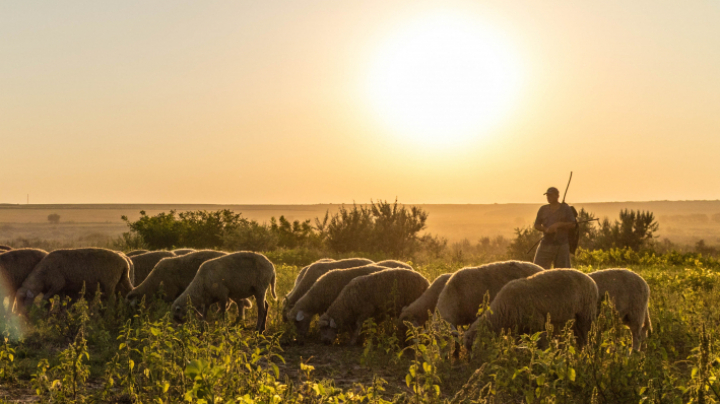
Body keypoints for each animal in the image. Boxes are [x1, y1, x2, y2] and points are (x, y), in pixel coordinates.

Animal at [464, 268, 600, 350]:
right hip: (574, 320)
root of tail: (591, 280)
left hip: (586, 315)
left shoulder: (536, 323)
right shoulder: (519, 329)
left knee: (586, 336)